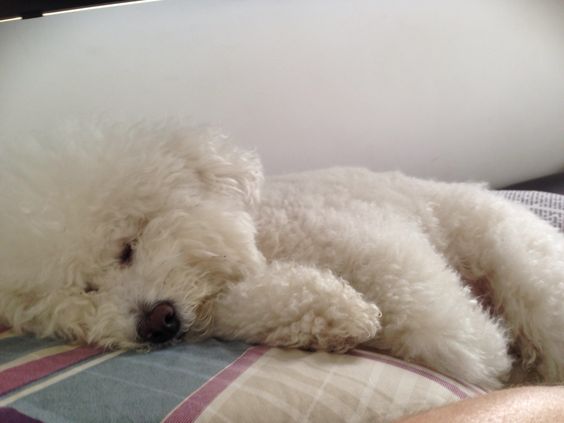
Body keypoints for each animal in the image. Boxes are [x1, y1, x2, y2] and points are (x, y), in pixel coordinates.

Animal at [1, 120, 564, 390]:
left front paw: (478, 353)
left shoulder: (375, 240)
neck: (266, 238)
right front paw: (340, 316)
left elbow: (429, 313)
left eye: (128, 246)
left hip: (519, 262)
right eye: (85, 290)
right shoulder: (228, 305)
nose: (156, 323)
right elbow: (280, 304)